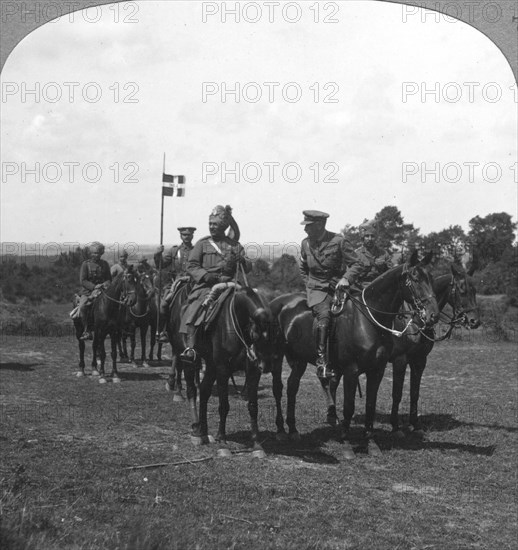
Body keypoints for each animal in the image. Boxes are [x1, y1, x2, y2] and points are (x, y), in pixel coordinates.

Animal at [268, 252, 442, 460]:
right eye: (415, 278)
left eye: (431, 278)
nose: (433, 315)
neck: (368, 320)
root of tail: (275, 303)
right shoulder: (351, 371)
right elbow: (349, 407)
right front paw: (346, 445)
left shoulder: (377, 370)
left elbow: (370, 405)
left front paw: (372, 443)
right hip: (277, 358)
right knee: (278, 389)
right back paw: (280, 430)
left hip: (299, 360)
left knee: (292, 388)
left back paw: (293, 430)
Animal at [392, 264, 482, 440]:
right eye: (462, 290)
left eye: (474, 290)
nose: (475, 321)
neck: (414, 320)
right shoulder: (400, 360)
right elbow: (397, 393)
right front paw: (395, 427)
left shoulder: (419, 360)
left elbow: (414, 392)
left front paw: (415, 425)